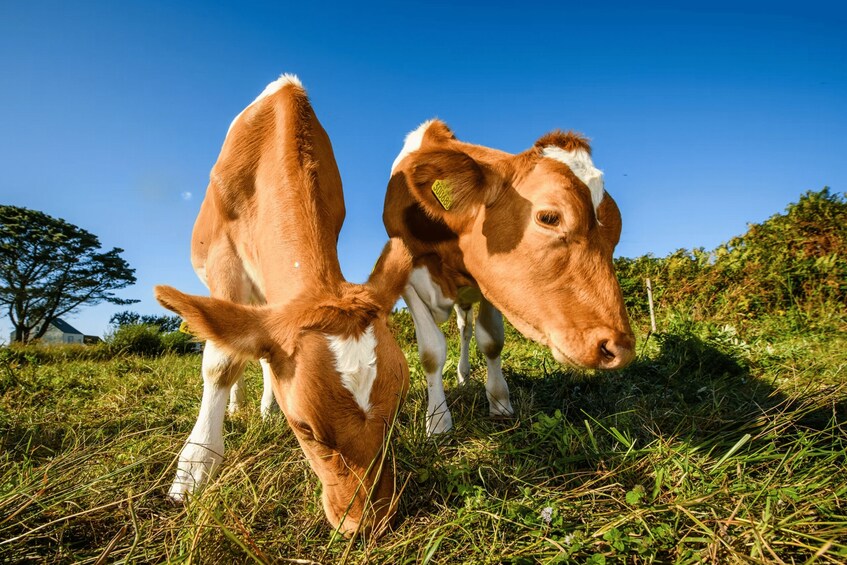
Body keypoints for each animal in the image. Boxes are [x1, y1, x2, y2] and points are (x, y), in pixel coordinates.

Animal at [154, 74, 412, 536]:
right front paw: (196, 465)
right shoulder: (223, 259)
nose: (365, 524)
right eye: (305, 429)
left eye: (397, 409)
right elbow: (220, 362)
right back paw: (237, 408)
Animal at [383, 119, 635, 434]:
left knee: (465, 329)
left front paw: (500, 403)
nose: (620, 348)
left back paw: (465, 375)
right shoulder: (408, 276)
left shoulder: (490, 285)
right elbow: (431, 352)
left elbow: (491, 340)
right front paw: (438, 421)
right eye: (549, 218)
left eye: (616, 232)